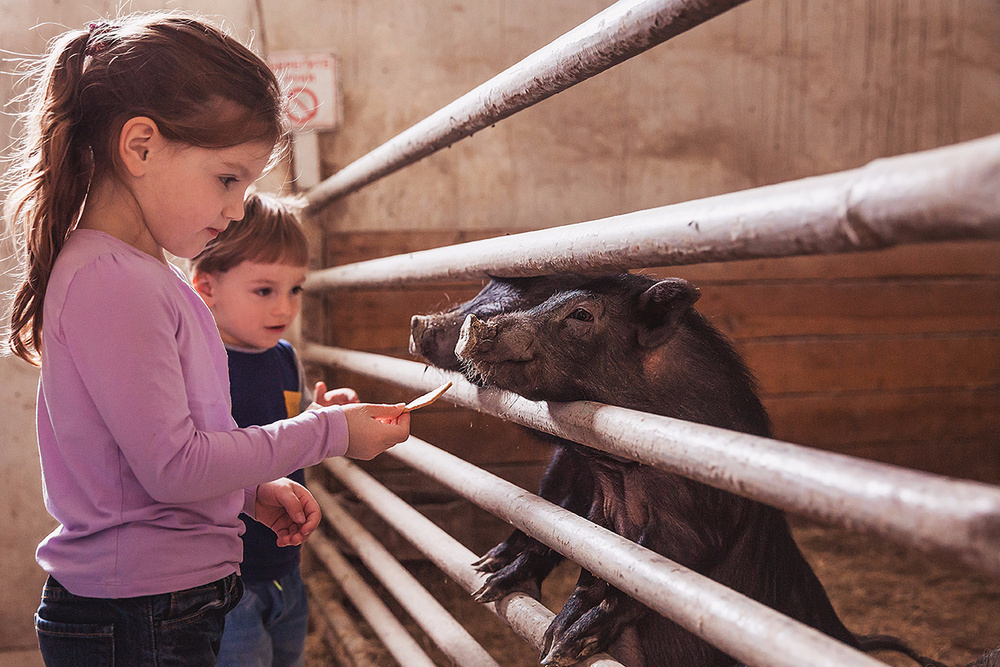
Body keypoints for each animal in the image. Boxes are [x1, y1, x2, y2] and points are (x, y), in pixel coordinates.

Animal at [410, 272, 940, 667]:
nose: (470, 323)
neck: (621, 479)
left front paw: (561, 643)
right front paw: (498, 590)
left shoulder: (700, 523)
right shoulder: (593, 506)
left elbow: (647, 576)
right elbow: (587, 556)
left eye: (580, 314)